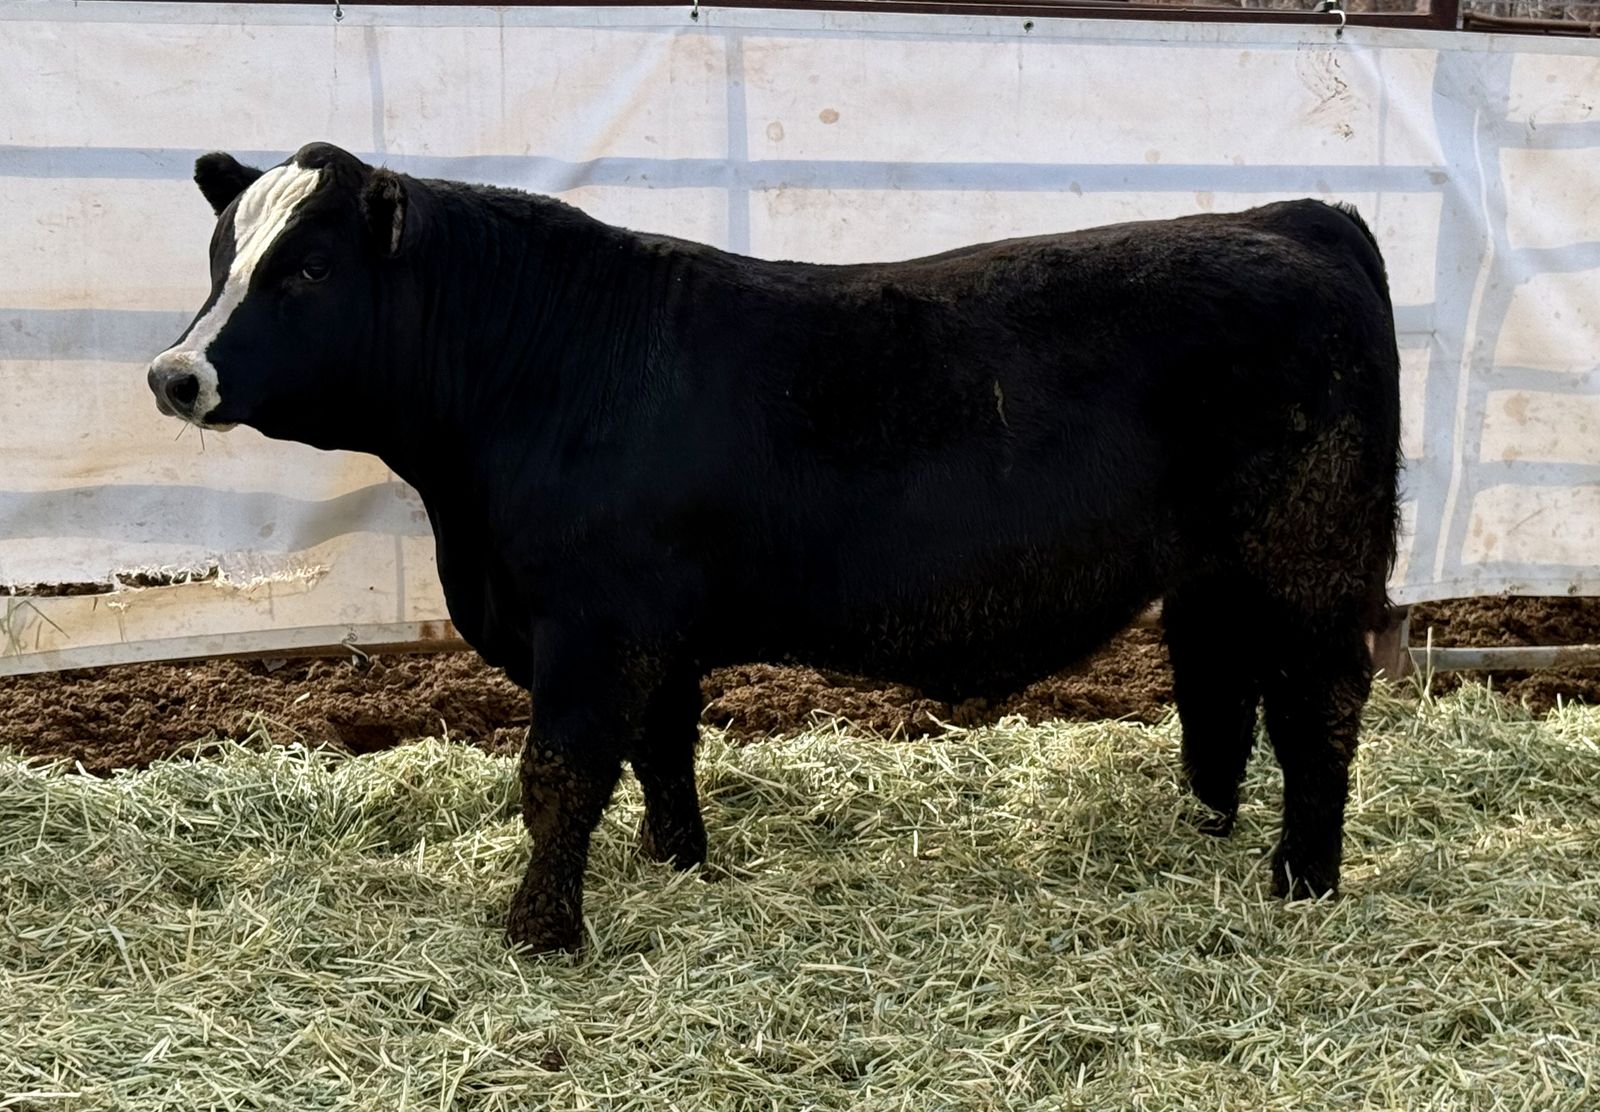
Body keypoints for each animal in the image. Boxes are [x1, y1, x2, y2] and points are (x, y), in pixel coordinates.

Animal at [147, 142, 1401, 953]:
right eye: (218, 255)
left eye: (308, 267)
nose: (174, 373)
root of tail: (1290, 216)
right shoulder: (650, 624)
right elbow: (660, 748)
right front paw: (676, 859)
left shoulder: (590, 623)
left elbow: (559, 772)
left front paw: (540, 932)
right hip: (1217, 571)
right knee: (1218, 686)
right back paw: (1207, 825)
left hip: (1310, 563)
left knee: (1318, 708)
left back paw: (1301, 877)